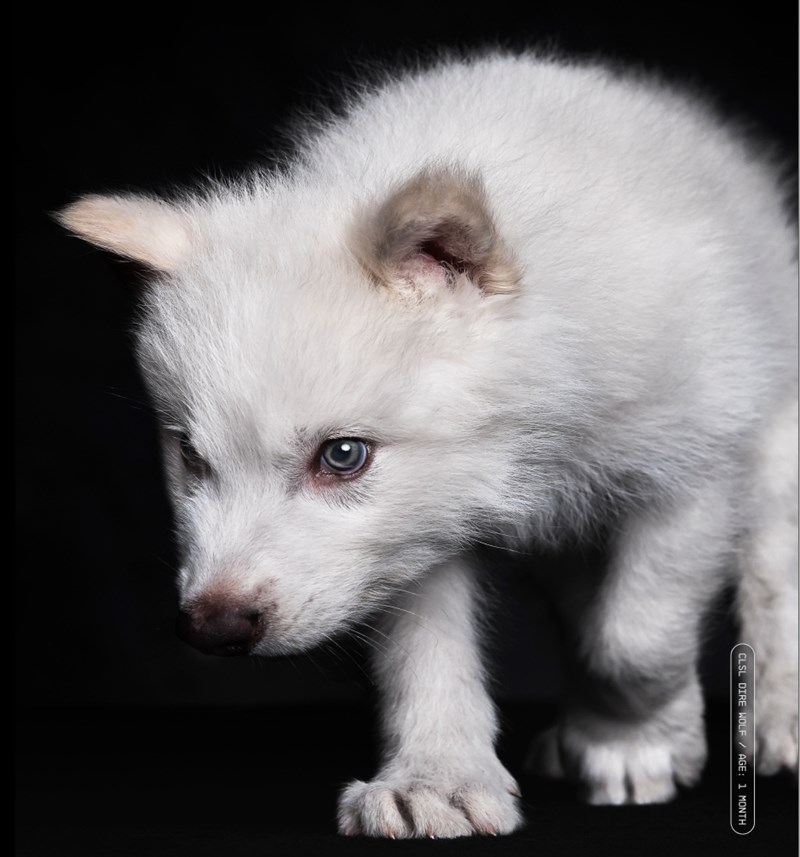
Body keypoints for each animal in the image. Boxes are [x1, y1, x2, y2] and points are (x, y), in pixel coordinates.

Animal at [58, 52, 798, 838]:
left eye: (342, 456)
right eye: (191, 457)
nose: (212, 627)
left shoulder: (693, 472)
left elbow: (633, 639)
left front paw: (633, 742)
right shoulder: (412, 533)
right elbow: (428, 656)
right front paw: (437, 781)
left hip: (772, 435)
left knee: (770, 564)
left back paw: (775, 718)